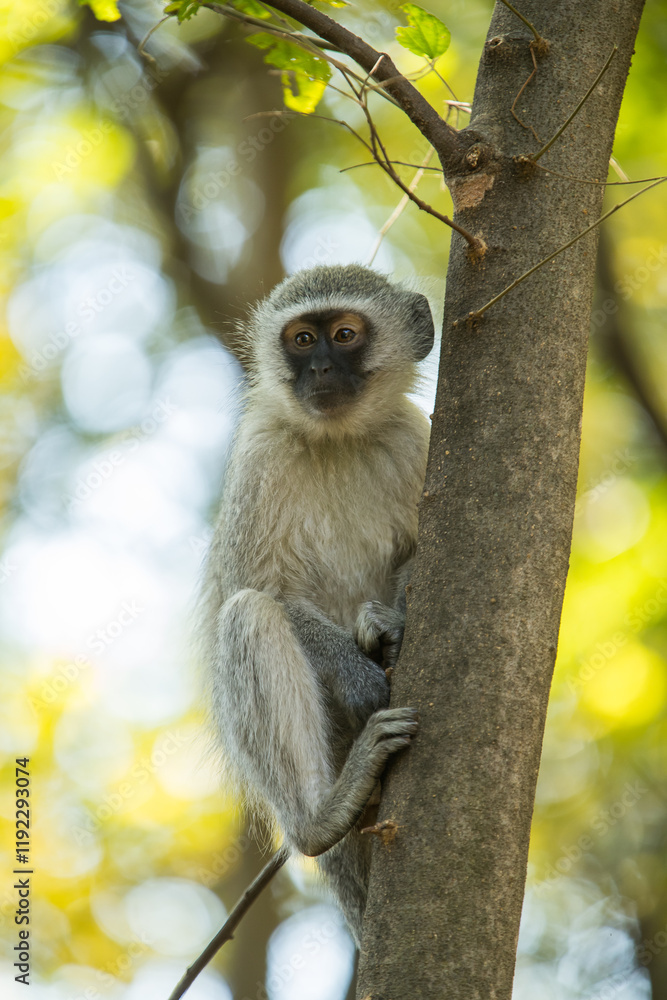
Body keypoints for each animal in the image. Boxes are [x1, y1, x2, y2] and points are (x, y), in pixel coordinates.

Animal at [200, 263, 434, 944]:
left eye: (346, 334)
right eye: (303, 339)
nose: (322, 368)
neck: (339, 440)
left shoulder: (417, 440)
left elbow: (422, 557)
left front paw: (385, 622)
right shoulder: (260, 456)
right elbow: (257, 589)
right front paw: (358, 669)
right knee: (248, 614)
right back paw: (320, 819)